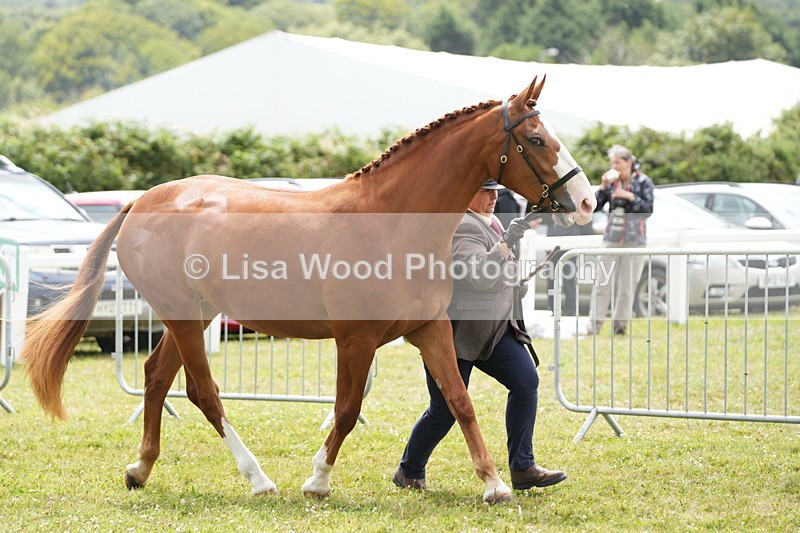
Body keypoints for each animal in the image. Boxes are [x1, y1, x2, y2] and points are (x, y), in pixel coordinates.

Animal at [22, 76, 595, 503]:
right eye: (537, 139)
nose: (587, 201)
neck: (392, 222)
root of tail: (140, 201)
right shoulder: (356, 341)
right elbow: (346, 410)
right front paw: (316, 480)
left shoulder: (430, 330)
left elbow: (459, 401)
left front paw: (496, 484)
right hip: (184, 316)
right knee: (203, 392)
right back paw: (258, 480)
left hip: (195, 316)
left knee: (157, 377)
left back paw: (140, 469)